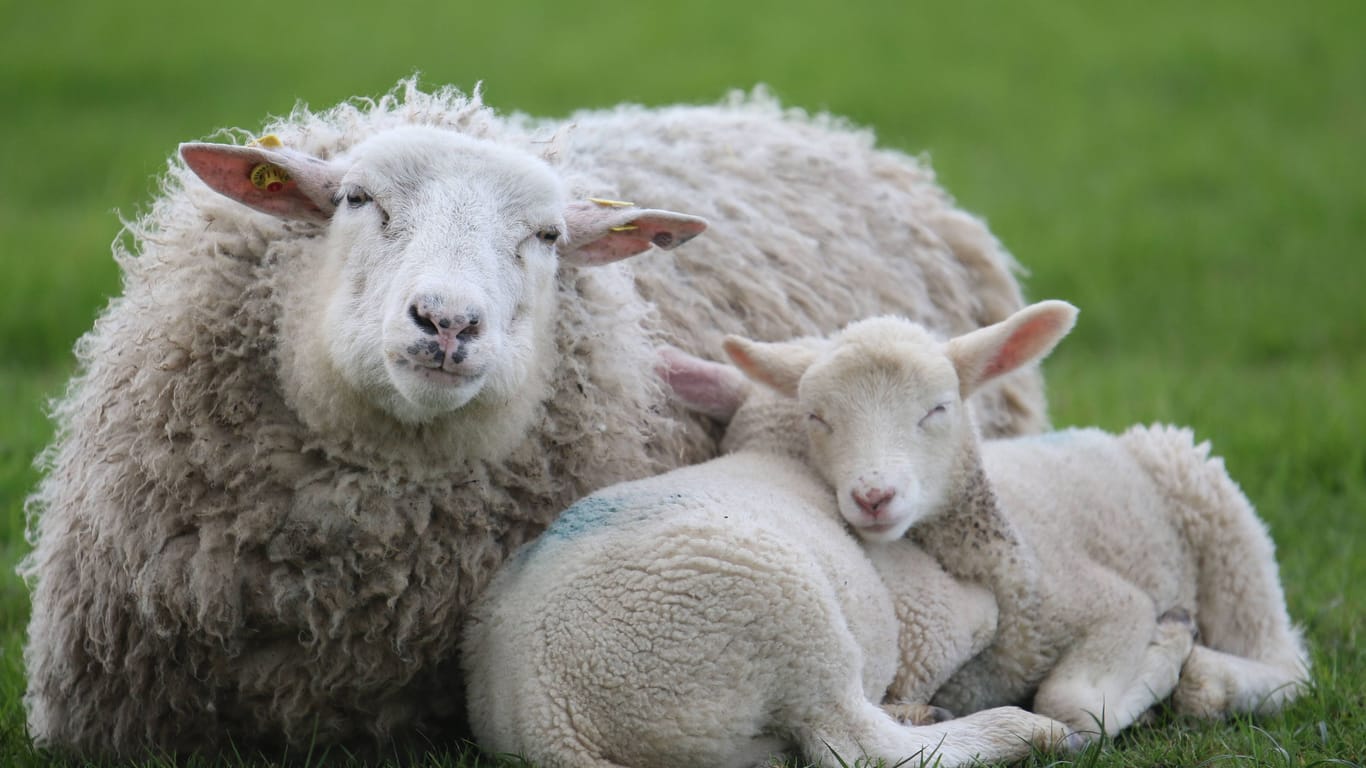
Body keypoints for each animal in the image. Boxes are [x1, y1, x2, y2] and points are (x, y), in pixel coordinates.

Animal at [461, 347, 1076, 765]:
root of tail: (553, 726)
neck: (777, 449)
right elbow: (977, 617)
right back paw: (1025, 731)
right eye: (822, 417)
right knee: (860, 745)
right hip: (788, 616)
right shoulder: (928, 612)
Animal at [726, 300, 1311, 737]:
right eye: (816, 418)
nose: (874, 496)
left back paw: (1210, 674)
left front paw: (1163, 653)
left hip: (1222, 524)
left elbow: (1069, 704)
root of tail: (1111, 435)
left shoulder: (1117, 604)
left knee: (1284, 663)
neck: (1009, 560)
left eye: (938, 409)